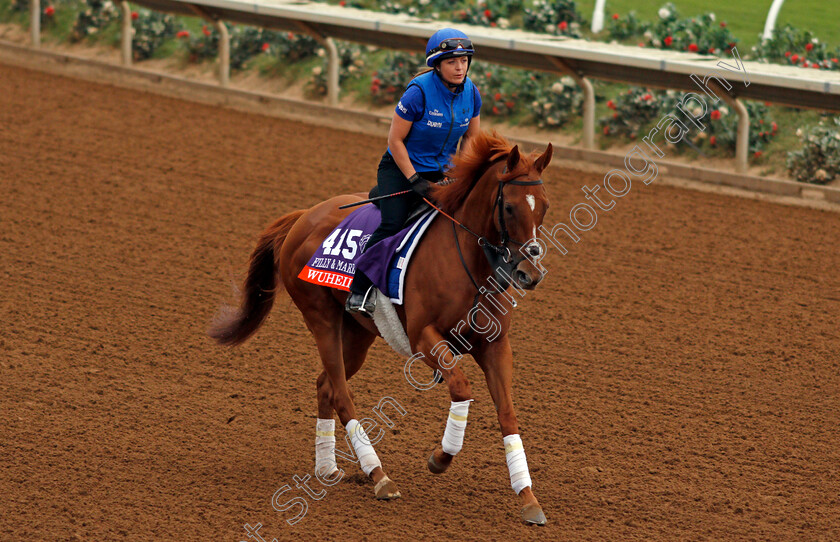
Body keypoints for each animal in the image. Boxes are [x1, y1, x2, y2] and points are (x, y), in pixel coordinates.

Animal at [208, 132, 552, 528]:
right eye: (509, 207)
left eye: (544, 207)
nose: (529, 274)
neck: (467, 262)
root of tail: (303, 217)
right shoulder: (423, 338)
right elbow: (462, 388)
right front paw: (440, 457)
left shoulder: (495, 345)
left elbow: (507, 413)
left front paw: (528, 498)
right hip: (320, 317)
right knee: (341, 394)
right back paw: (379, 476)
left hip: (358, 334)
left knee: (326, 385)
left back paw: (327, 468)